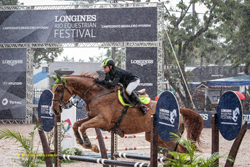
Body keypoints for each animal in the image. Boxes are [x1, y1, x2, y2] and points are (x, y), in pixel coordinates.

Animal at [51, 73, 204, 153]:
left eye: (59, 89)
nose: (55, 110)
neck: (96, 94)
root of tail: (179, 110)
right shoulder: (92, 117)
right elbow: (77, 124)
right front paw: (81, 141)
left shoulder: (103, 120)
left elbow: (83, 126)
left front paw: (89, 144)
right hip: (154, 137)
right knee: (179, 150)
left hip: (167, 136)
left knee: (182, 149)